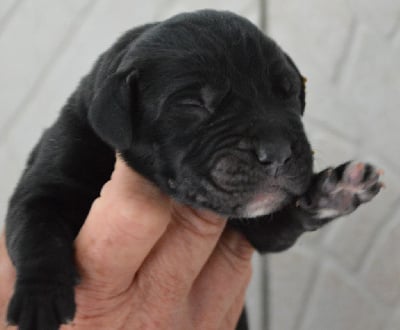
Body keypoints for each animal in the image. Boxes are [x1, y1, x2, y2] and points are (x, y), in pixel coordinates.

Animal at [5, 9, 382, 330]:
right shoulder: (49, 182)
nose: (277, 152)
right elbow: (37, 228)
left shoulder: (257, 226)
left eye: (289, 93)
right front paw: (39, 297)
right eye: (192, 103)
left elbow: (283, 220)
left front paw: (334, 192)